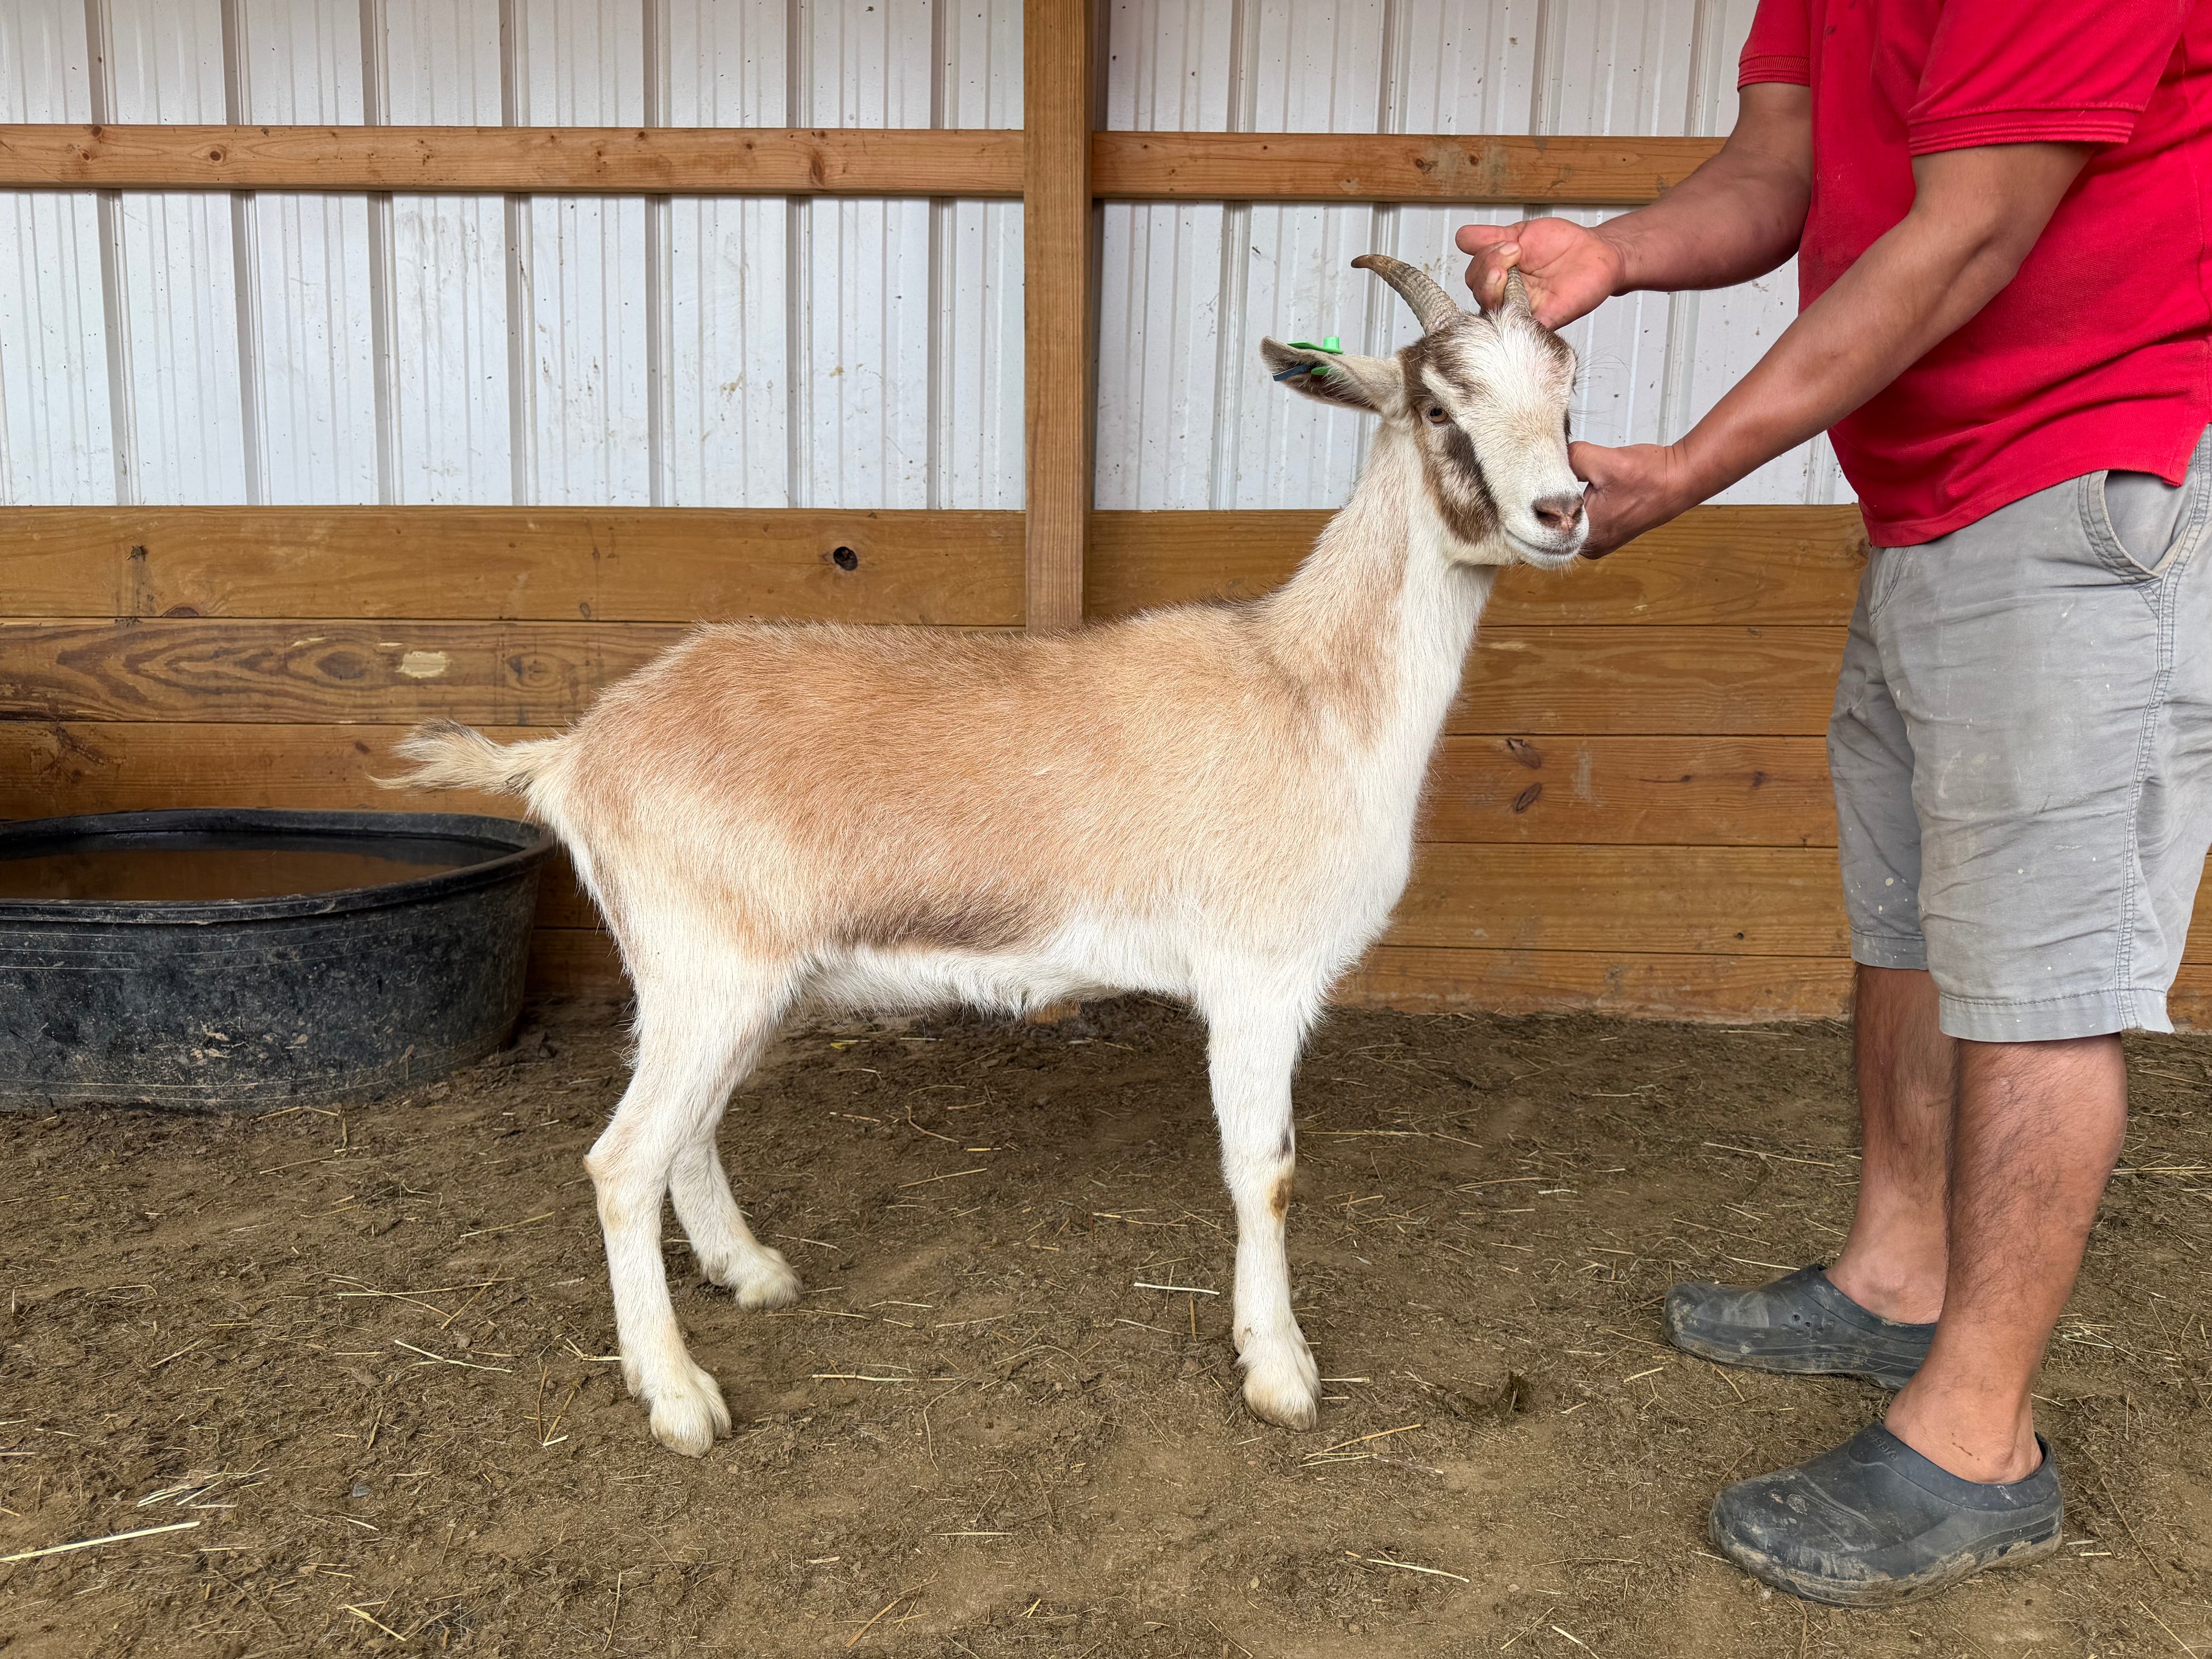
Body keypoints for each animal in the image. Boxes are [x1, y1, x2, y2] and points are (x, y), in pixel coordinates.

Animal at [384, 255, 1587, 1455]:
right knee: (622, 1162)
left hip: (715, 979)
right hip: (710, 966)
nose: (1564, 510)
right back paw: (679, 1396)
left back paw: (750, 1271)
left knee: (685, 1129)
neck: (1311, 689)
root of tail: (574, 752)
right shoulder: (1258, 977)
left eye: (1570, 400)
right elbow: (1267, 1173)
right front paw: (1280, 1371)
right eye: (1439, 408)